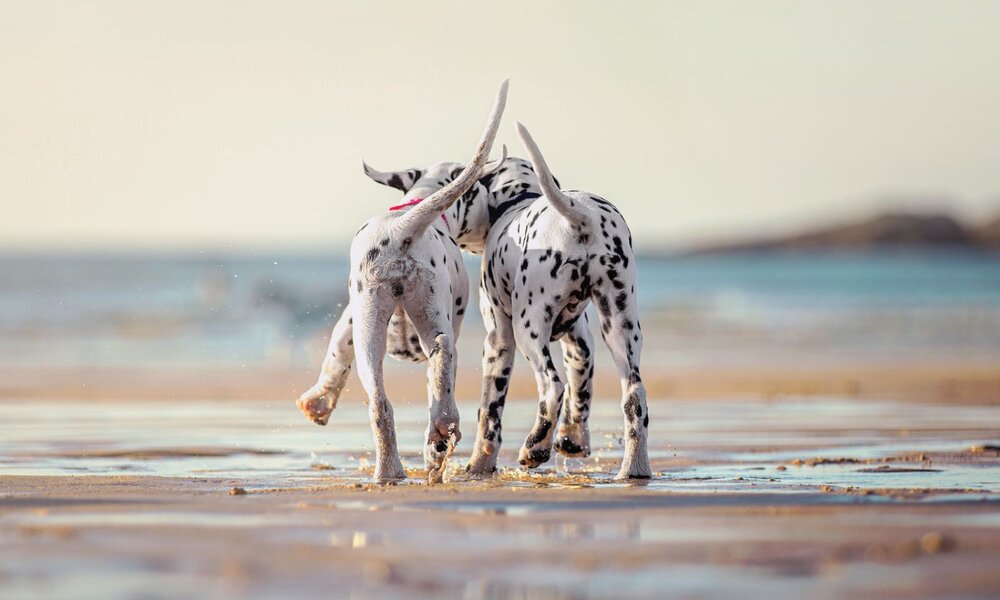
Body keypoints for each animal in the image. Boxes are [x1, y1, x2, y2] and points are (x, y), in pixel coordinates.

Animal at [292, 81, 504, 482]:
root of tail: (403, 229)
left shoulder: (350, 321)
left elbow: (335, 354)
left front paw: (317, 403)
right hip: (423, 316)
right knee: (442, 360)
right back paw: (438, 435)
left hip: (371, 328)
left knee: (382, 403)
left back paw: (396, 465)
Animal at [364, 123, 652, 482]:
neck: (518, 200)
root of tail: (579, 215)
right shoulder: (579, 339)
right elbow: (580, 391)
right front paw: (572, 440)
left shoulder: (498, 341)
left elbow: (489, 414)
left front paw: (479, 466)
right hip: (621, 326)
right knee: (634, 398)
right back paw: (634, 469)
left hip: (527, 329)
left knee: (552, 387)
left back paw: (535, 448)